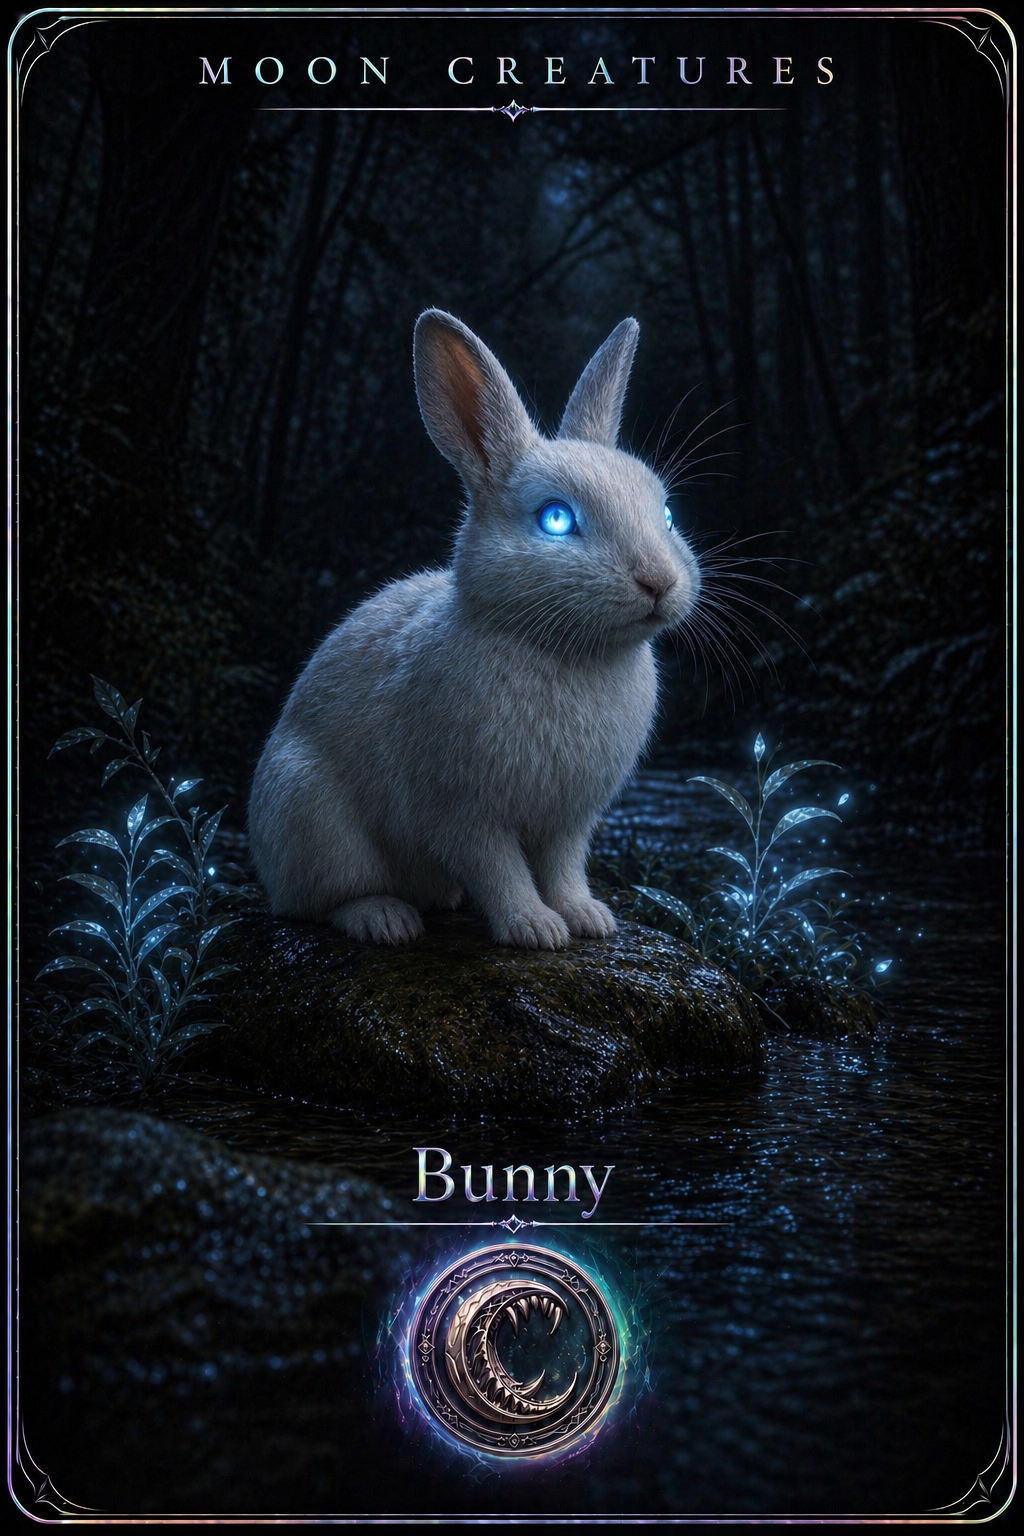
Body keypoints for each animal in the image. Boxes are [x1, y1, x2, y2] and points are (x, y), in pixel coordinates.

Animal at [248, 309, 700, 949]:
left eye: (665, 513)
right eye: (555, 519)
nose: (659, 581)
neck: (561, 648)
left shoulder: (569, 820)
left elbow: (564, 868)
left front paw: (587, 919)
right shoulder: (465, 813)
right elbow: (500, 868)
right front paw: (536, 929)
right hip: (316, 821)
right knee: (319, 901)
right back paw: (387, 920)